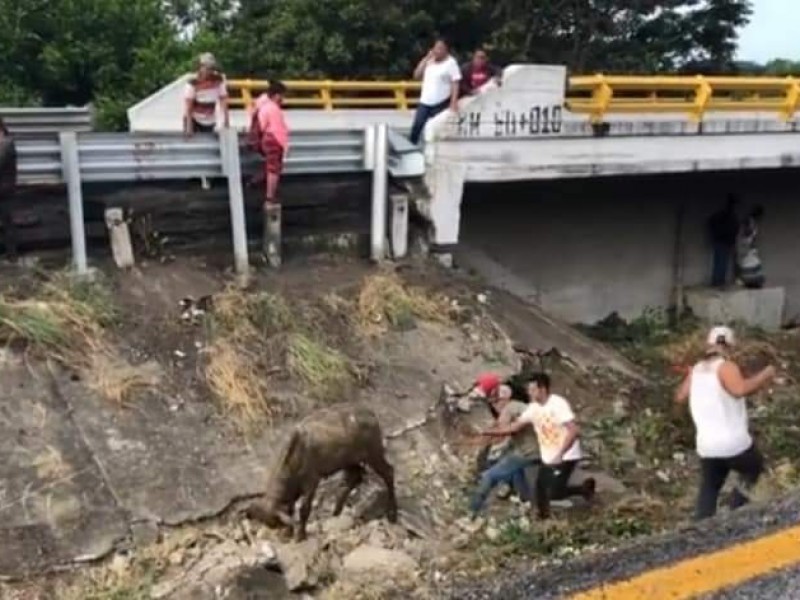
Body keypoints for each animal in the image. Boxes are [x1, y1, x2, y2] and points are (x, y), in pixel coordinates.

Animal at [242, 406, 396, 540]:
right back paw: (336, 513)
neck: (295, 455)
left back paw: (392, 513)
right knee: (355, 478)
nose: (281, 533)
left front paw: (300, 535)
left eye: (275, 524)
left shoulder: (311, 482)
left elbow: (304, 509)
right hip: (350, 462)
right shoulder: (292, 491)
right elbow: (290, 509)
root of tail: (370, 414)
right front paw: (289, 533)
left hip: (374, 454)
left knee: (388, 472)